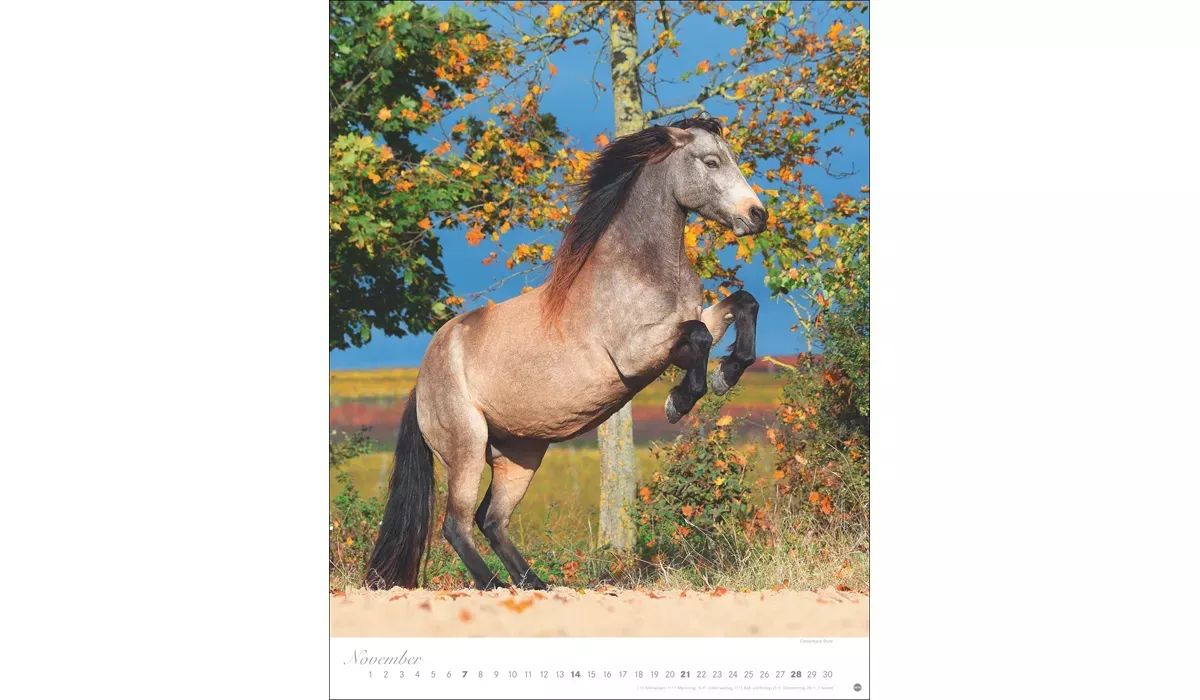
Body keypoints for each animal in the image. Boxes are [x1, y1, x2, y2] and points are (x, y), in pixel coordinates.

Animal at [365, 115, 766, 591]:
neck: (638, 271)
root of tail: (420, 385)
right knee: (457, 525)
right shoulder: (637, 353)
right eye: (710, 161)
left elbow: (741, 304)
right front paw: (680, 401)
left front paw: (727, 372)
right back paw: (494, 585)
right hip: (467, 451)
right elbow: (701, 335)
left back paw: (535, 583)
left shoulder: (675, 343)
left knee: (492, 521)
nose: (758, 215)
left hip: (520, 457)